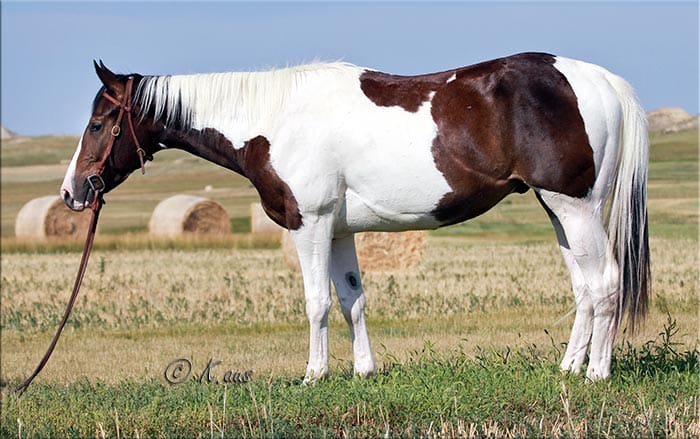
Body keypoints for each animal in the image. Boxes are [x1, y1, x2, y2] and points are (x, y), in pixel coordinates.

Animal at [61, 51, 652, 384]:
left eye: (98, 122)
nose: (71, 194)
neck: (273, 118)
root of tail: (600, 81)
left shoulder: (311, 224)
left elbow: (317, 303)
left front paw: (314, 375)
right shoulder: (339, 229)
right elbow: (352, 300)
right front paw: (364, 371)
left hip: (575, 206)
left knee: (605, 283)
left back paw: (597, 374)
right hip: (559, 210)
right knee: (583, 287)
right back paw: (569, 368)